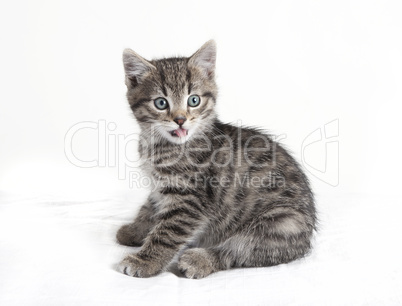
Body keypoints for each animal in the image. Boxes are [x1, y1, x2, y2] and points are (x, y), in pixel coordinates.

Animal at [114, 41, 316, 280]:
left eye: (194, 100)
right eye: (161, 103)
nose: (180, 120)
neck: (162, 145)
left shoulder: (190, 200)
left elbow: (167, 233)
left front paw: (145, 261)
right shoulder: (158, 186)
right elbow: (150, 207)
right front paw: (135, 229)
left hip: (282, 223)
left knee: (238, 251)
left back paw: (198, 260)